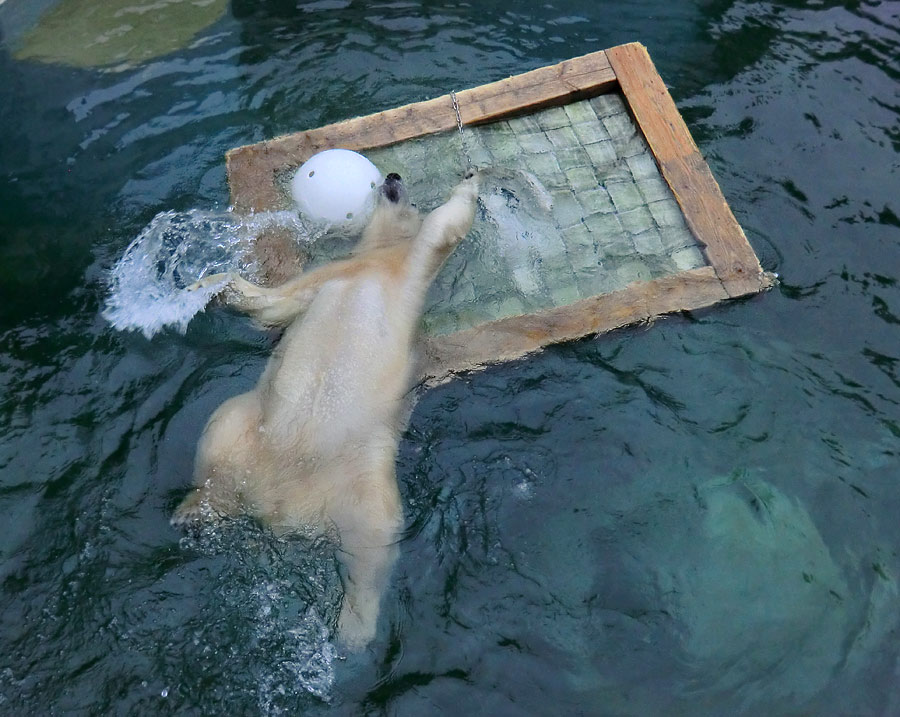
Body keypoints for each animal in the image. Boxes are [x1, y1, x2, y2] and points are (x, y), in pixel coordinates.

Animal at [170, 169, 478, 648]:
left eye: (411, 199)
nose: (393, 177)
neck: (374, 262)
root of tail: (279, 509)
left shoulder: (403, 271)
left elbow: (441, 230)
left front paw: (471, 181)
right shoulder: (327, 278)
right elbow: (273, 305)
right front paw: (206, 286)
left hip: (362, 481)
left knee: (375, 540)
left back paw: (353, 628)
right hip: (244, 429)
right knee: (218, 444)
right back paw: (192, 513)